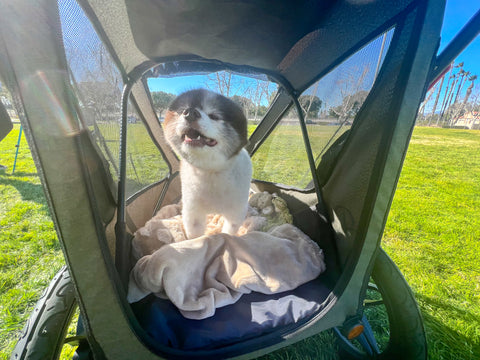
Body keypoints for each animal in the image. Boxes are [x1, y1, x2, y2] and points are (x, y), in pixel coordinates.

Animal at [164, 88, 253, 238]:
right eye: (182, 111)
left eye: (214, 116)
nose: (190, 112)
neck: (211, 172)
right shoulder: (193, 212)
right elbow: (195, 235)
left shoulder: (235, 212)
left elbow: (229, 231)